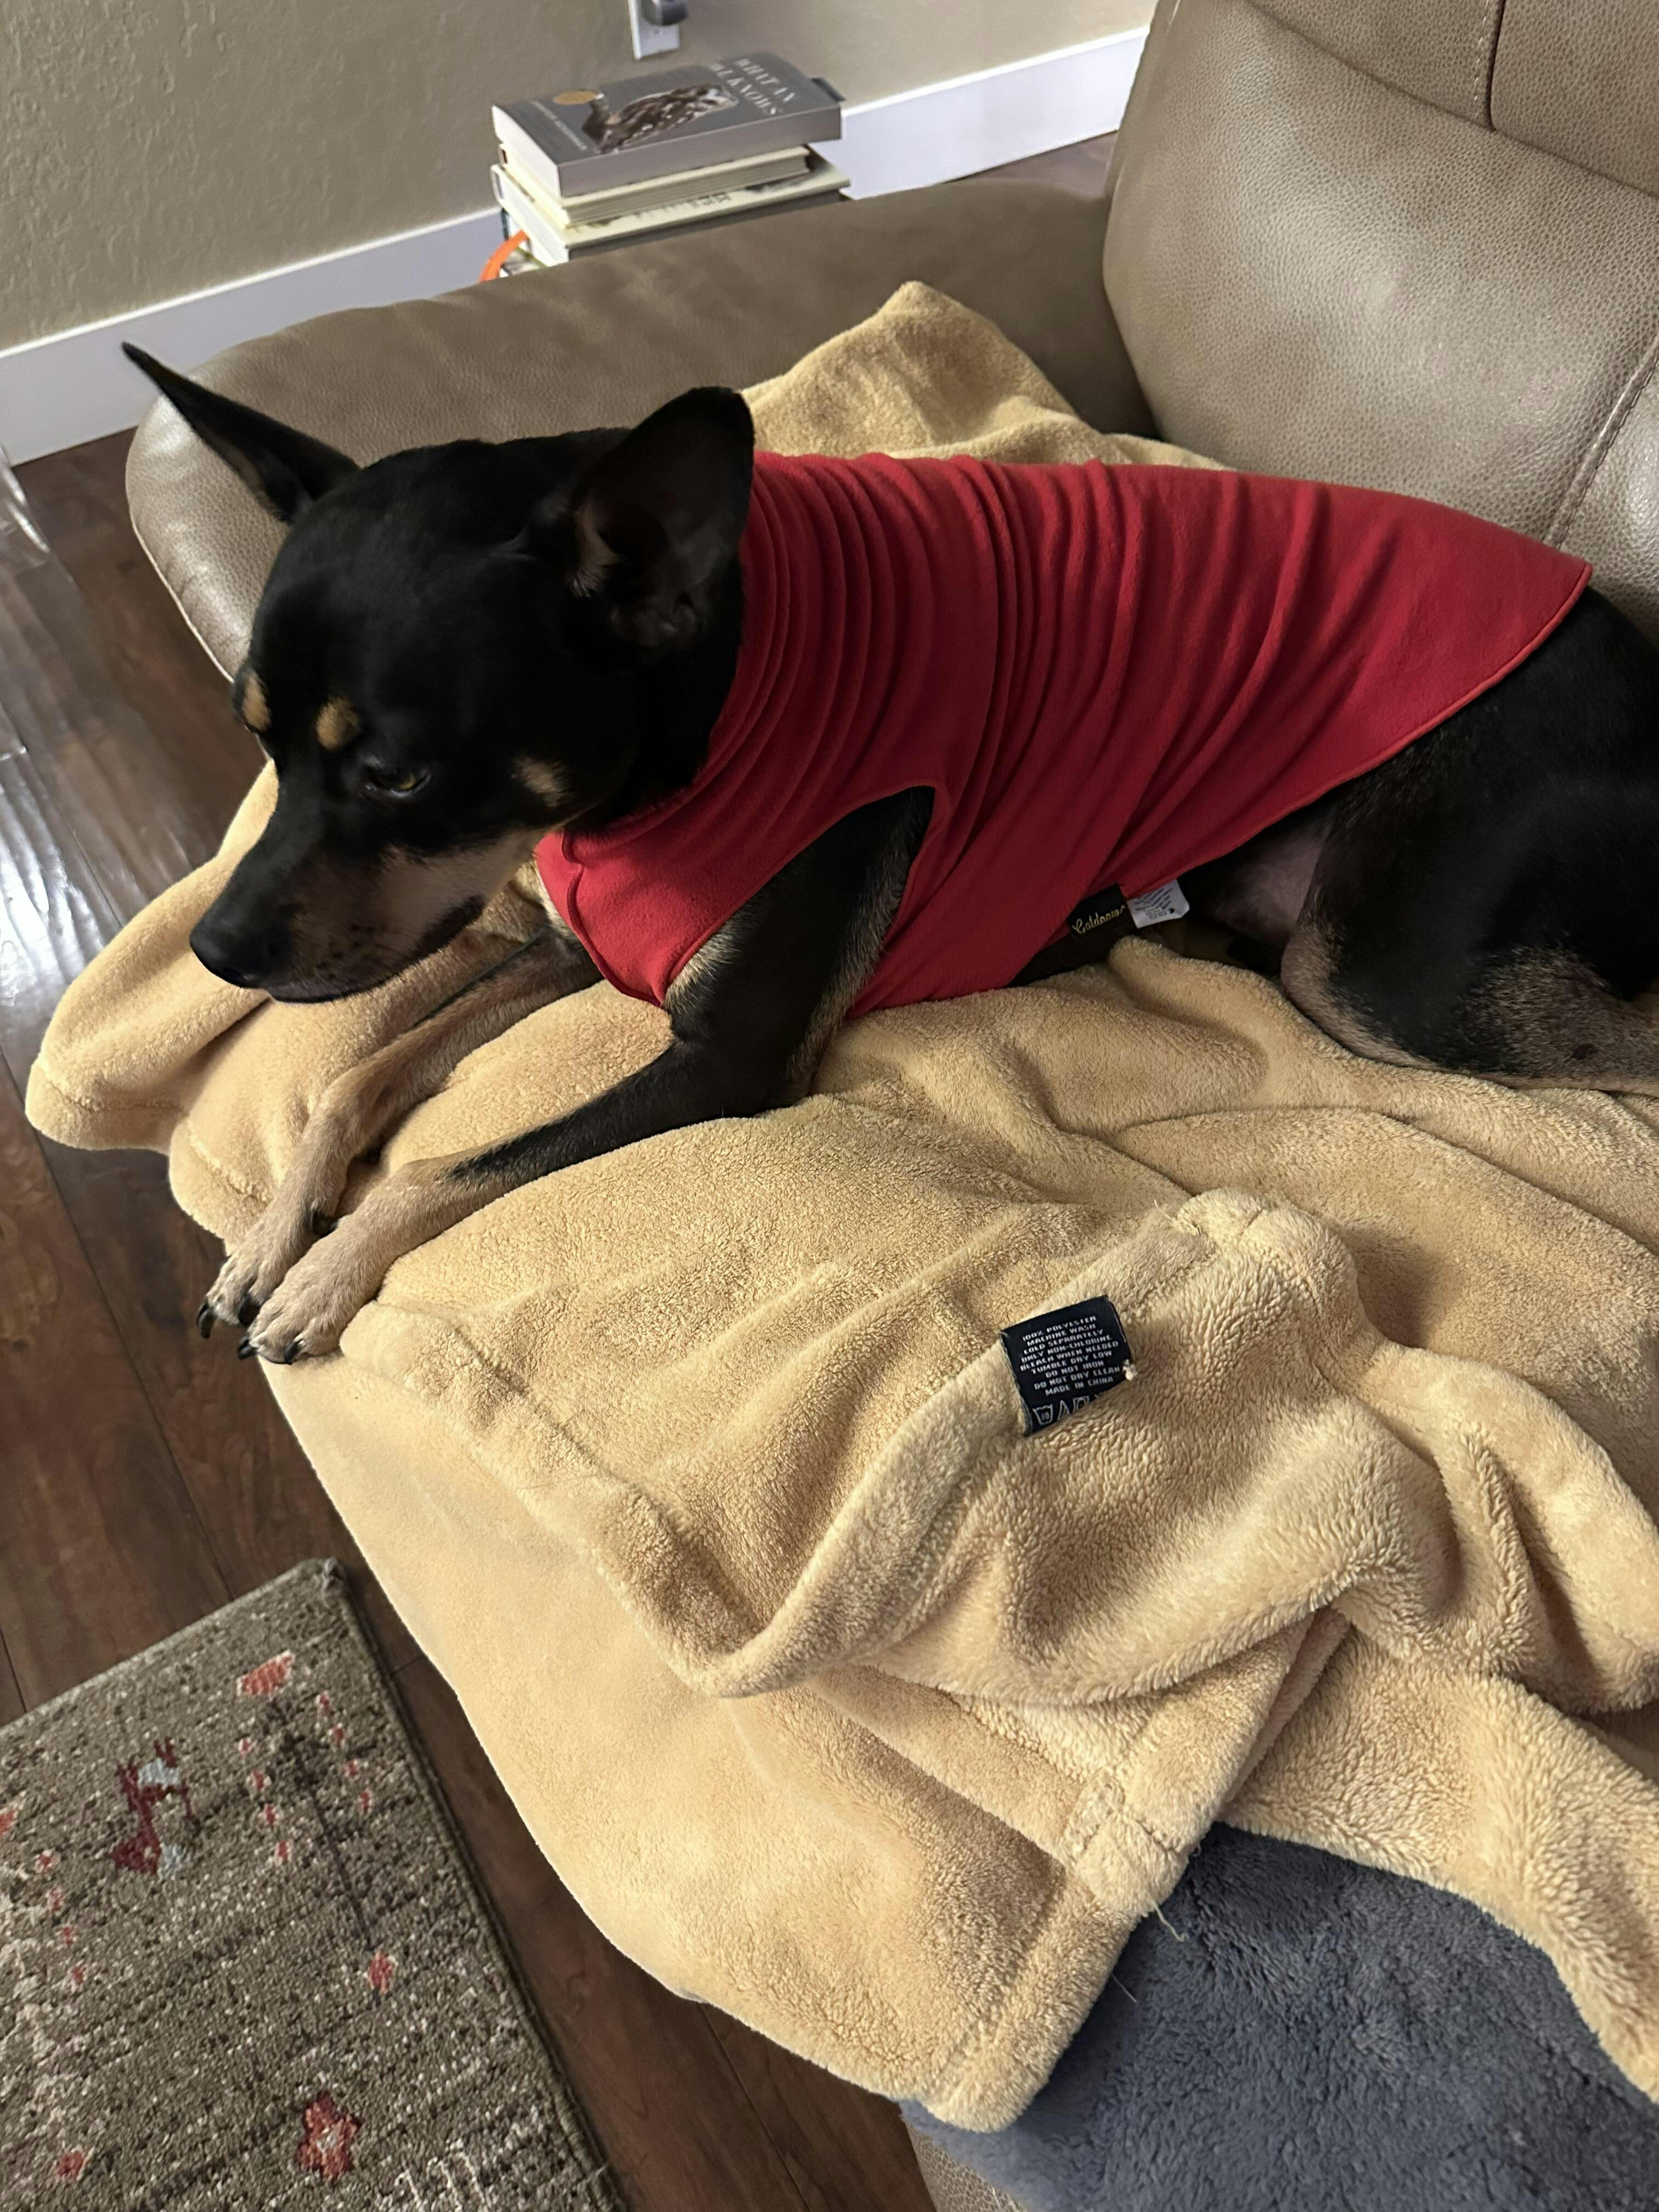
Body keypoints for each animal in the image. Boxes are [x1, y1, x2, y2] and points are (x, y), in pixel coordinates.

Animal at [123, 347, 1659, 1367]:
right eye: (260, 742)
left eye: (396, 772)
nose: (217, 952)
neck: (709, 706)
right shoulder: (574, 955)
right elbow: (357, 1076)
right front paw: (274, 1238)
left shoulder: (724, 1062)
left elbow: (451, 1163)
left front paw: (331, 1277)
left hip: (1373, 975)